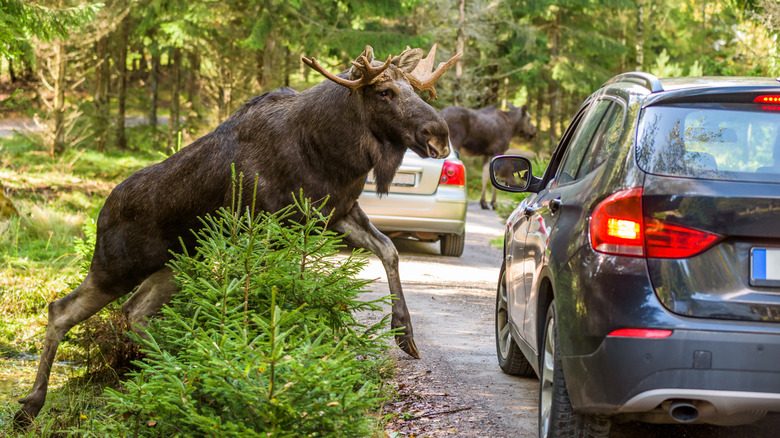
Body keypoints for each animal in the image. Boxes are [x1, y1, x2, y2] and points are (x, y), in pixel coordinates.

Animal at [13, 44, 461, 428]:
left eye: (415, 89)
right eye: (385, 91)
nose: (439, 134)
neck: (332, 153)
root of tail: (101, 213)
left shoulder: (336, 213)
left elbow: (389, 251)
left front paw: (404, 333)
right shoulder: (268, 226)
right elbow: (269, 295)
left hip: (175, 266)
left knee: (134, 311)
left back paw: (181, 362)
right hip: (117, 266)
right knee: (61, 310)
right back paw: (31, 405)